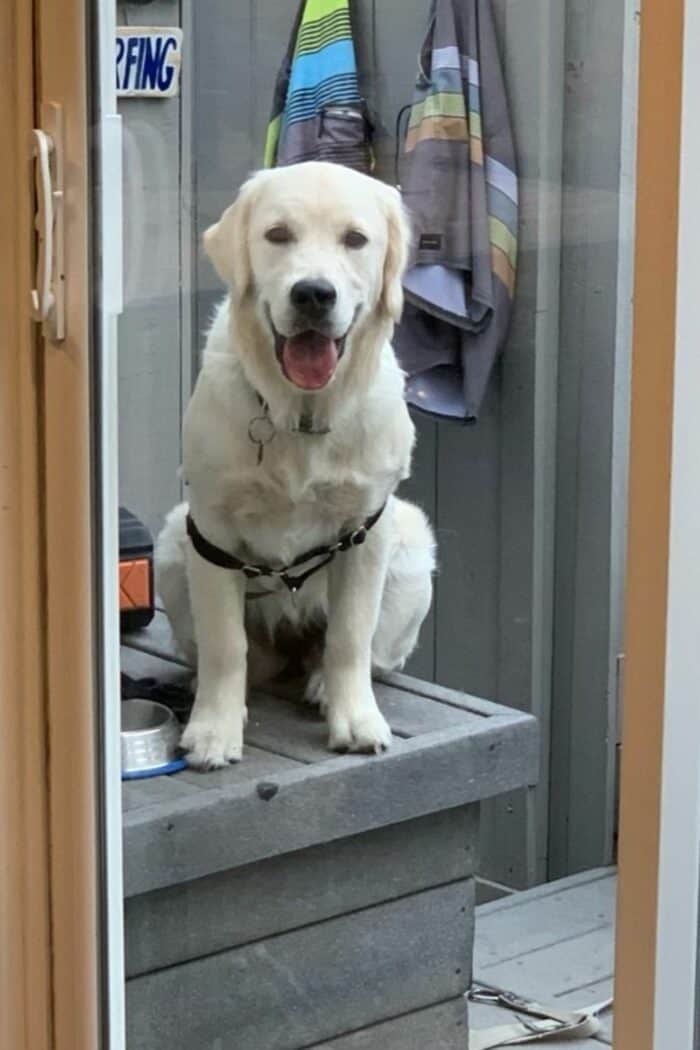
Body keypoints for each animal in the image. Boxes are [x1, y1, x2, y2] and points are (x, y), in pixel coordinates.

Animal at [156, 163, 434, 772]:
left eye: (355, 239)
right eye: (278, 235)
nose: (312, 293)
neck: (300, 414)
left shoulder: (365, 531)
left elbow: (350, 636)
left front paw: (355, 719)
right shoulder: (211, 529)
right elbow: (225, 644)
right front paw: (213, 729)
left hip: (411, 545)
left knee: (353, 652)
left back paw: (325, 685)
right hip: (172, 542)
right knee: (243, 655)